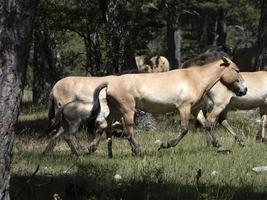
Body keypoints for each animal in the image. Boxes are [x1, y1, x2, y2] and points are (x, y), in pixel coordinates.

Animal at [48, 51, 247, 156]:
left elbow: (207, 125)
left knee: (104, 126)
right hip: (128, 109)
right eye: (237, 70)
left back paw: (92, 149)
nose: (244, 90)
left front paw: (220, 147)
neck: (194, 78)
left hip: (115, 110)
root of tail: (110, 84)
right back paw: (139, 151)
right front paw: (165, 145)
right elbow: (184, 129)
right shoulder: (183, 108)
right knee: (128, 130)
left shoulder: (195, 108)